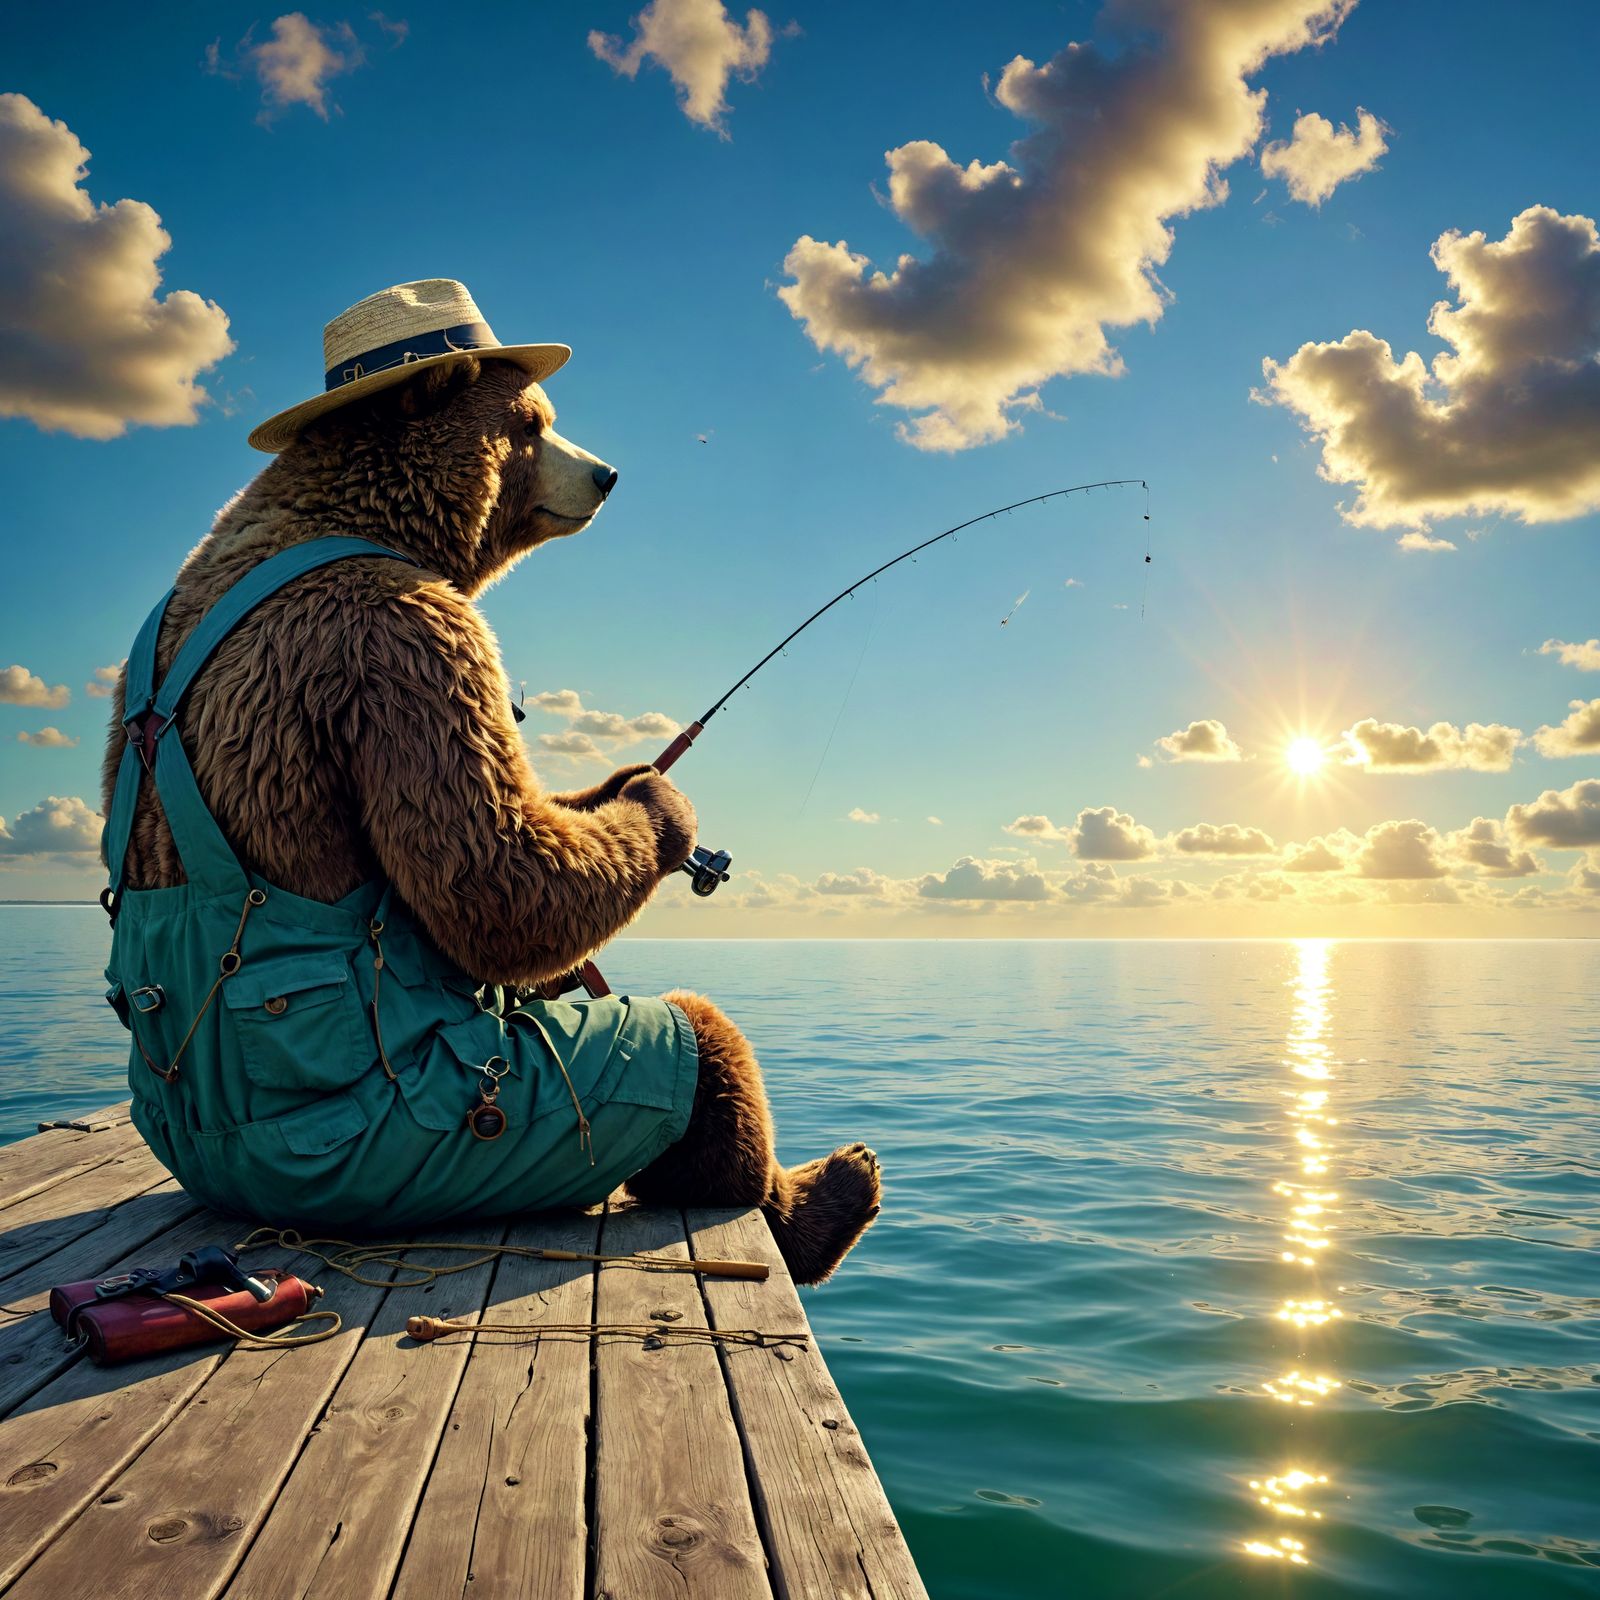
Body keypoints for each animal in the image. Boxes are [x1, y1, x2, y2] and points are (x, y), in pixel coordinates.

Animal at [102, 351, 881, 1285]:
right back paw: (827, 1198)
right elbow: (498, 881)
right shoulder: (403, 637)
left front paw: (628, 778)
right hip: (468, 1115)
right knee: (692, 1038)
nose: (610, 474)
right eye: (534, 424)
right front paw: (662, 806)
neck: (359, 513)